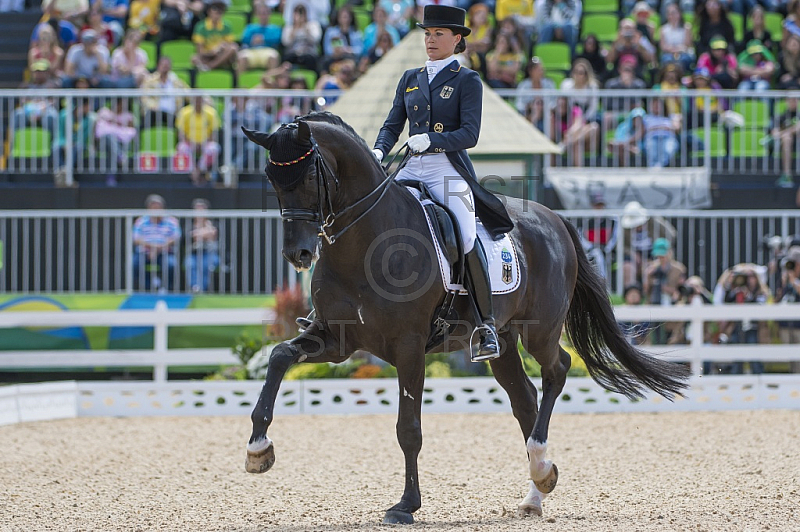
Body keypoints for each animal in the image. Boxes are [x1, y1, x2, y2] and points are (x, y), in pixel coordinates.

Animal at [239, 112, 688, 524]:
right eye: (273, 180)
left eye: (308, 178)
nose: (298, 254)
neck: (363, 244)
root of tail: (554, 218)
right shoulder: (336, 339)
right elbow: (279, 356)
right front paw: (258, 449)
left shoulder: (408, 346)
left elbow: (408, 429)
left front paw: (406, 506)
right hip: (501, 341)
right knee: (524, 397)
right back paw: (537, 486)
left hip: (540, 330)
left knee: (557, 369)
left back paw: (540, 464)